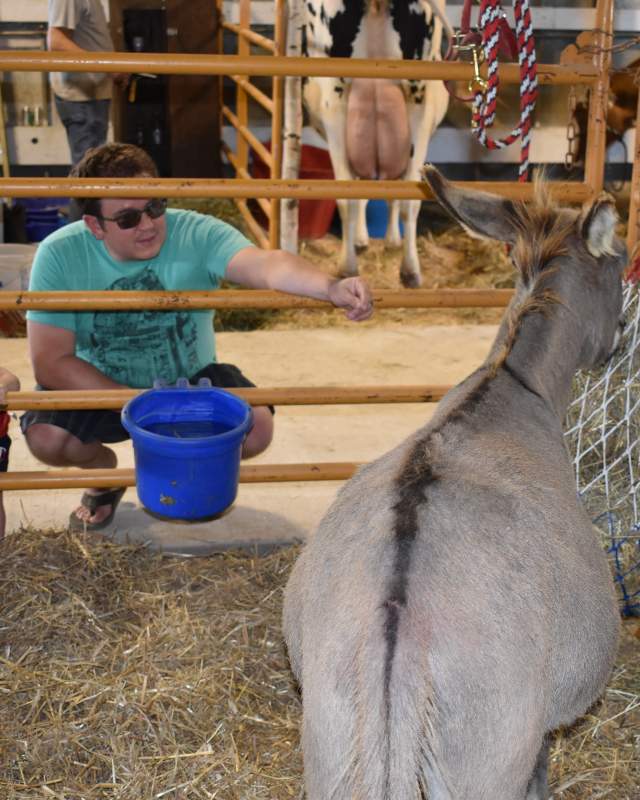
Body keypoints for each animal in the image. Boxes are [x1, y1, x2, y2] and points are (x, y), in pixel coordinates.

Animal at [302, 0, 448, 288]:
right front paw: (384, 239)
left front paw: (369, 239)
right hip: (417, 103)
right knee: (404, 198)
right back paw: (407, 269)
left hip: (337, 101)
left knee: (349, 193)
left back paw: (350, 267)